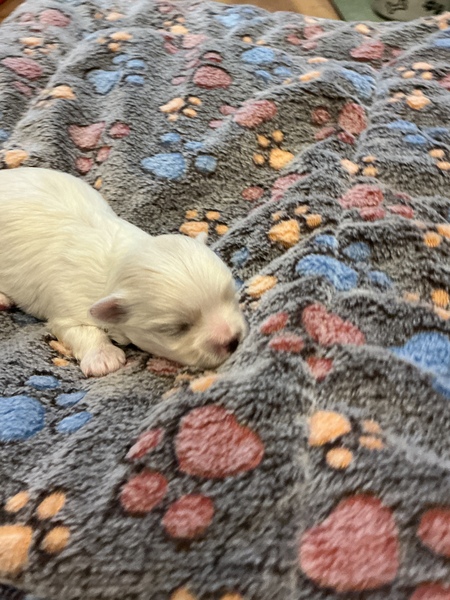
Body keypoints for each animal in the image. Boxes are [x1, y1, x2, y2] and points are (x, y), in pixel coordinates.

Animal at [0, 167, 246, 377]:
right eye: (176, 329)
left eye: (231, 296)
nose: (233, 341)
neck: (119, 263)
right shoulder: (67, 307)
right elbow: (82, 330)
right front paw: (103, 359)